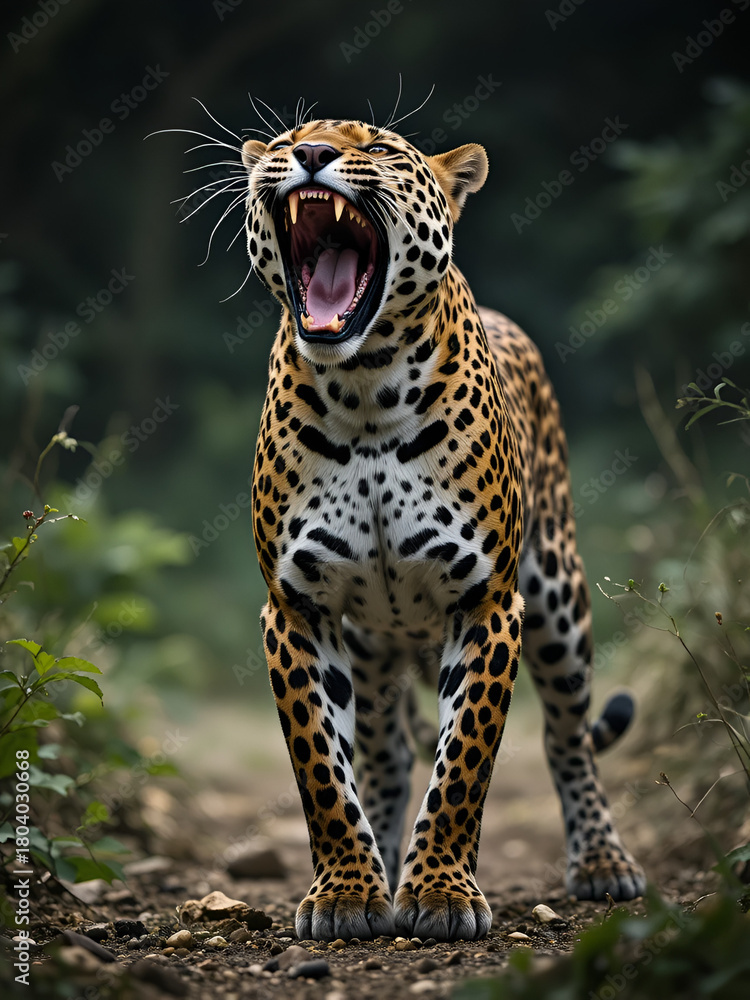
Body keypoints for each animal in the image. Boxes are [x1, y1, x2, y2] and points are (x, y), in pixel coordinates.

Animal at [238, 115, 646, 942]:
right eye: (287, 139)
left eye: (377, 148)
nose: (311, 155)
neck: (363, 386)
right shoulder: (297, 607)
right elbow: (322, 768)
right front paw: (349, 893)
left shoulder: (487, 603)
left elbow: (463, 764)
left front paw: (439, 894)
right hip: (370, 645)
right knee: (386, 751)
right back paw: (382, 862)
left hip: (559, 600)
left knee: (568, 739)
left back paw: (602, 863)